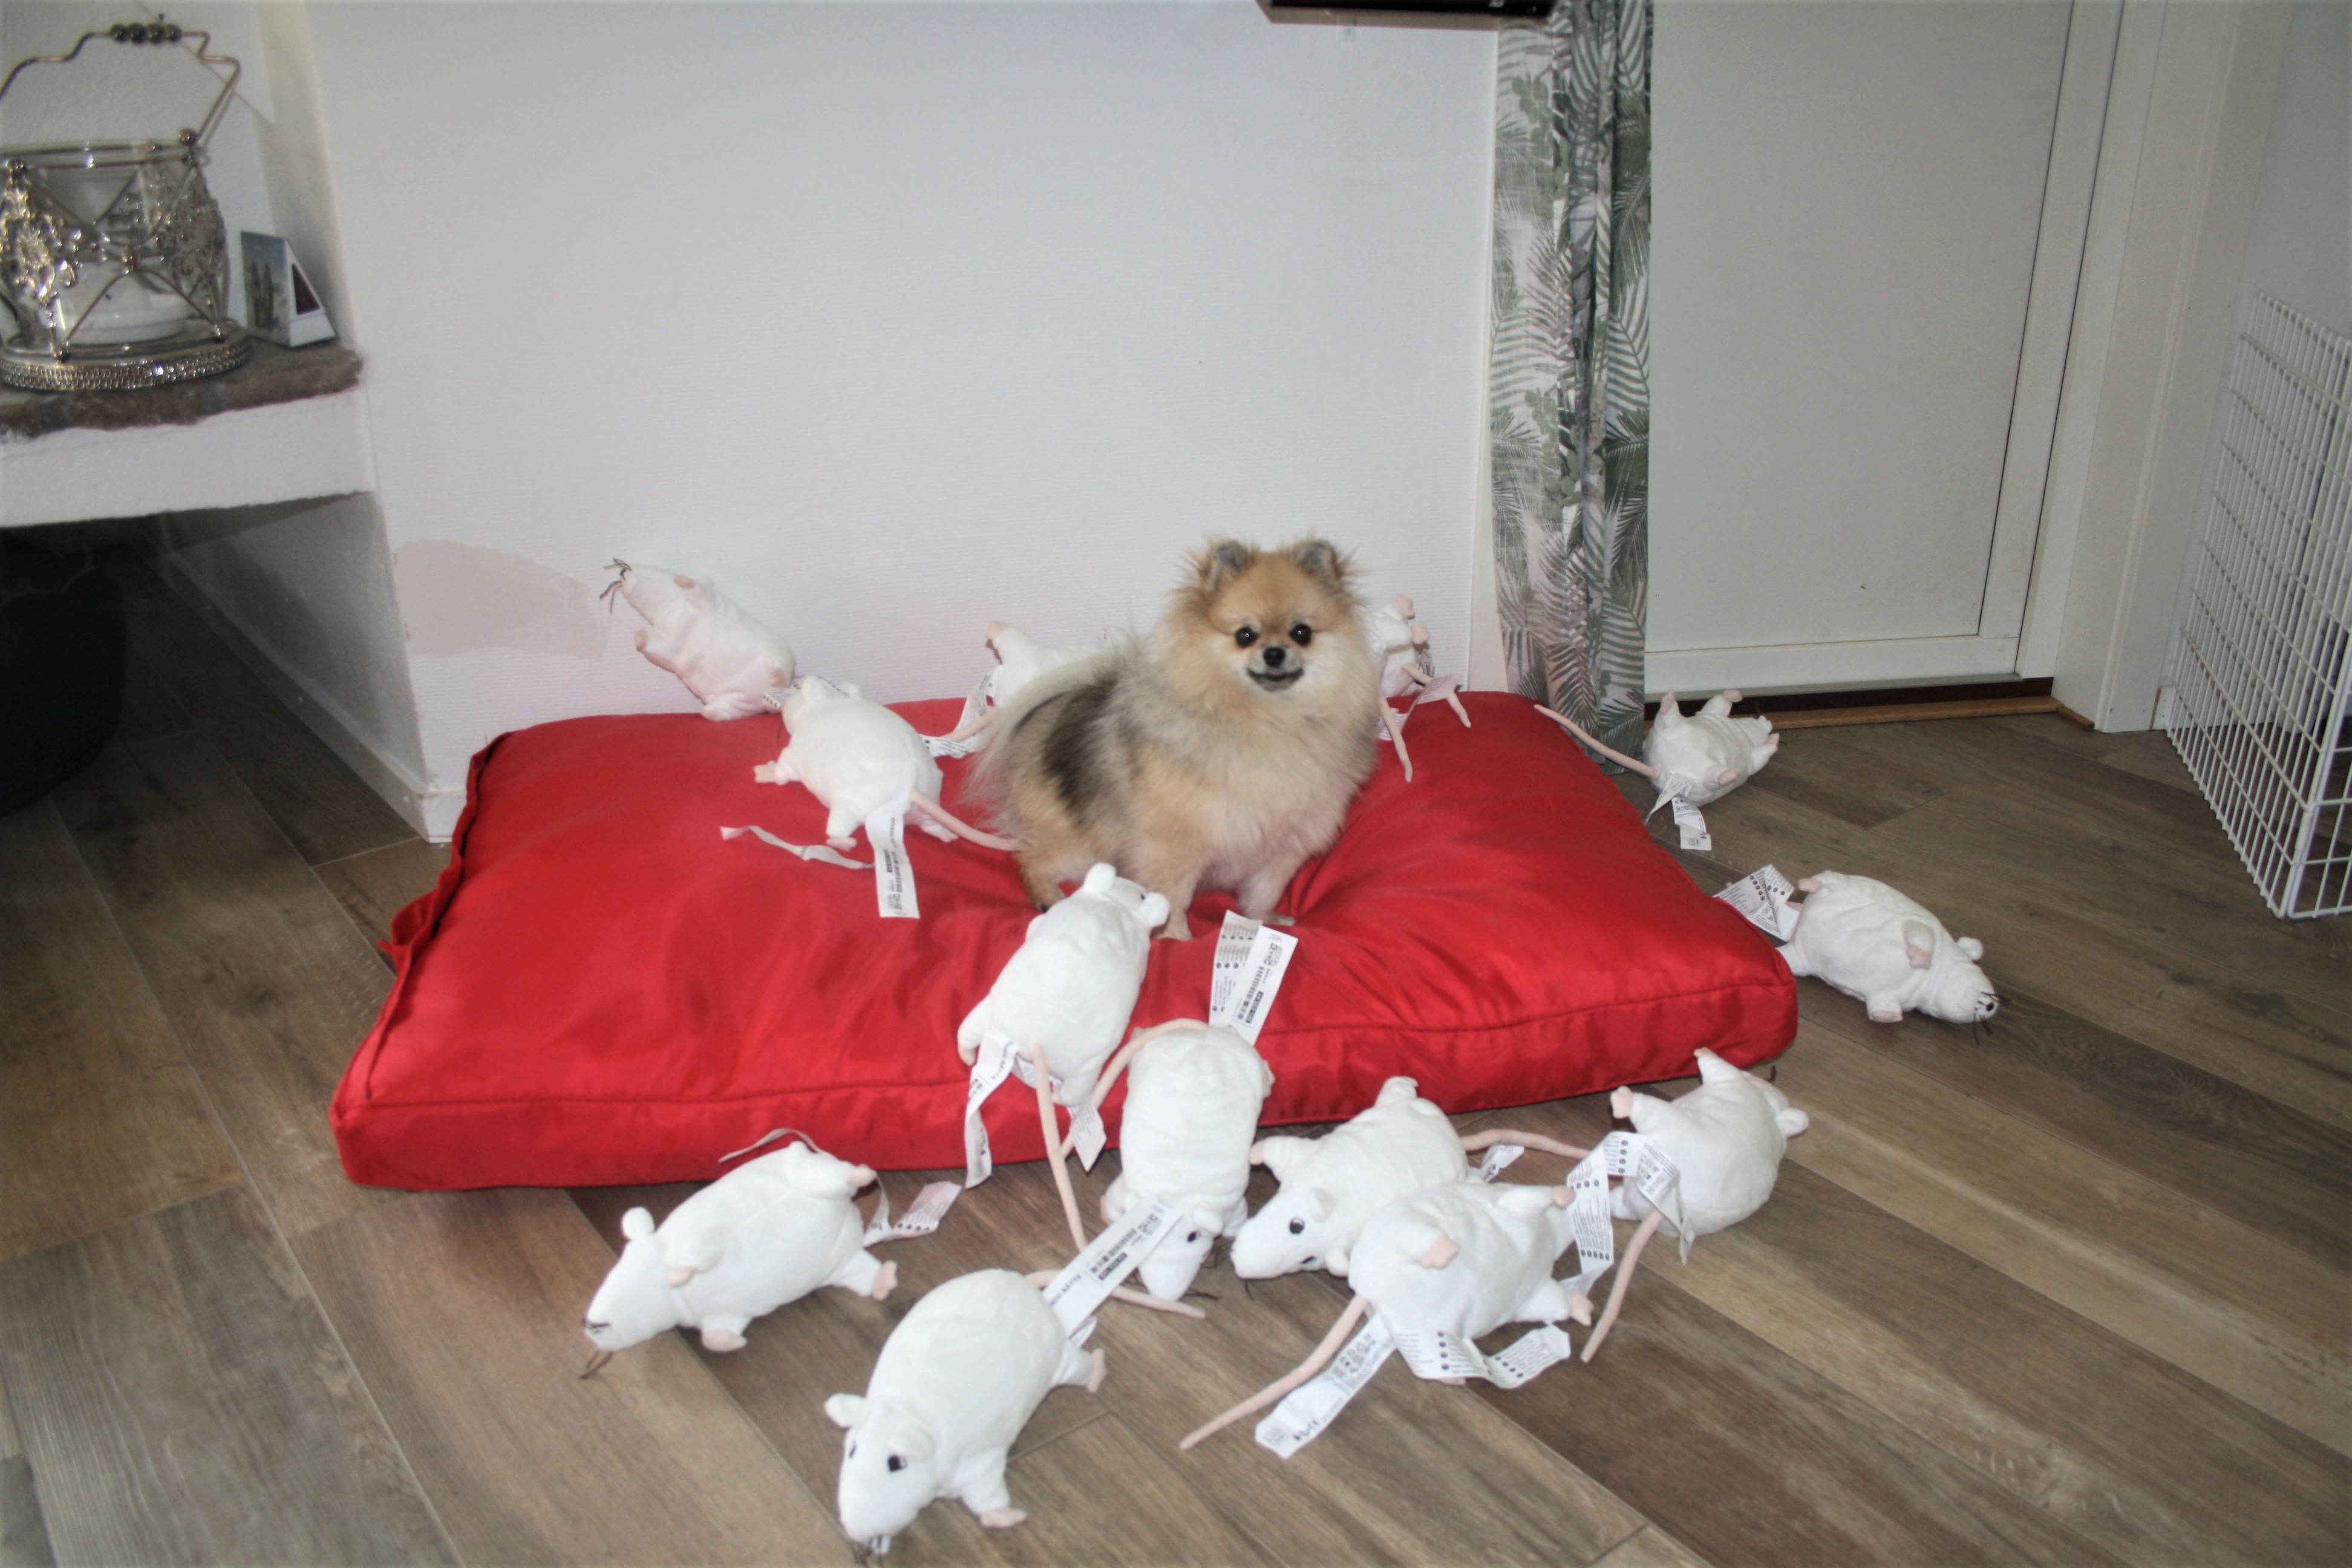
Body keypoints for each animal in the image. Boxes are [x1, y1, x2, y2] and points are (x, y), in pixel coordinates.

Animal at [977, 537, 1382, 939]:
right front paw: (1175, 939)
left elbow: (1264, 890)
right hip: (1084, 842)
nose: (1274, 653)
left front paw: (1266, 920)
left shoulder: (1283, 846)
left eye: (1302, 633)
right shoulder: (1176, 843)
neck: (1269, 719)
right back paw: (1047, 896)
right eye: (1245, 635)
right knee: (1032, 858)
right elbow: (1173, 896)